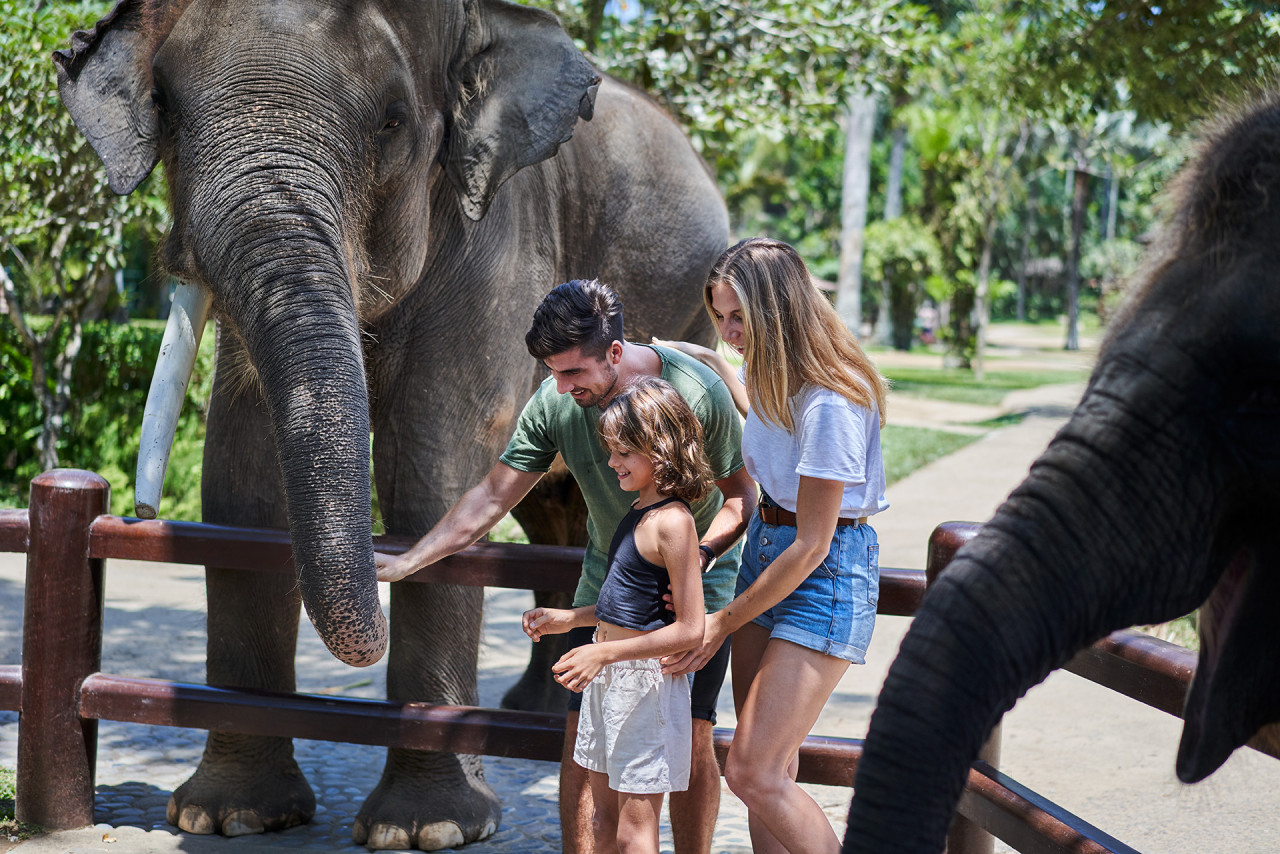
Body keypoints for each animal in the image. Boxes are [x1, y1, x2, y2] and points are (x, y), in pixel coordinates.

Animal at [55, 0, 727, 850]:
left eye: (392, 120)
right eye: (166, 109)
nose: (139, 515)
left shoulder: (498, 234)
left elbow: (435, 471)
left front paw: (426, 830)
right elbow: (241, 474)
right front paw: (228, 816)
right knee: (558, 512)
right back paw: (546, 708)